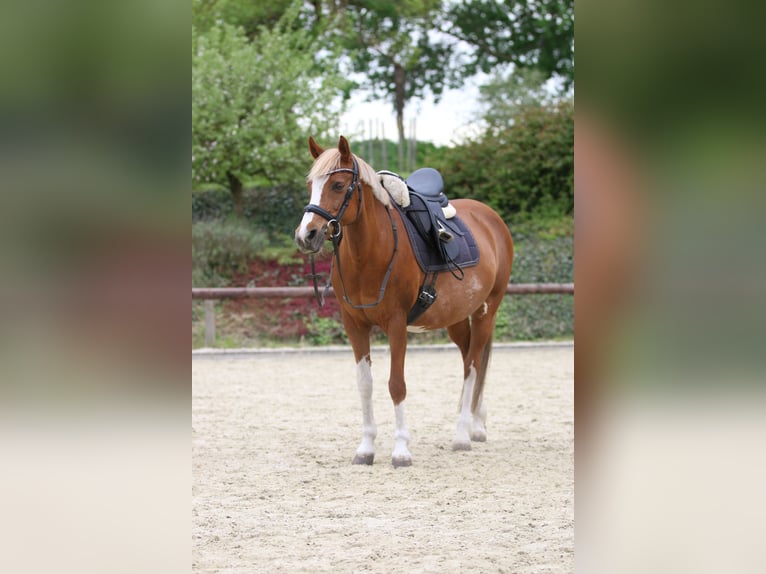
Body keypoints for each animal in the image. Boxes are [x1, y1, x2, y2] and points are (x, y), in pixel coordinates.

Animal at [294, 135, 514, 467]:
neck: (371, 253)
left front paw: (400, 451)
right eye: (311, 184)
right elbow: (365, 385)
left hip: (486, 311)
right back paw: (476, 424)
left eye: (338, 185)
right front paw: (366, 448)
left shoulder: (396, 325)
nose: (306, 235)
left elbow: (396, 384)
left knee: (474, 365)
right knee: (469, 360)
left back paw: (462, 434)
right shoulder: (354, 325)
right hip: (456, 318)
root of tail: (491, 219)